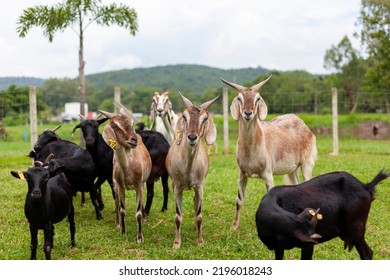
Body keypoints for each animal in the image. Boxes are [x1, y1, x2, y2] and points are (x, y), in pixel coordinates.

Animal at [98, 108, 152, 242]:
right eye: (115, 125)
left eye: (132, 123)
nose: (133, 140)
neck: (128, 166)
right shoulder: (121, 186)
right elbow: (122, 209)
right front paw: (123, 232)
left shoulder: (138, 185)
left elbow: (138, 213)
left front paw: (140, 238)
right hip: (116, 185)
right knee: (117, 202)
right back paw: (117, 223)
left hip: (143, 183)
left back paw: (144, 218)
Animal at [165, 93, 219, 248]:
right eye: (184, 116)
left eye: (205, 118)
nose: (192, 137)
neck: (188, 169)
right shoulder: (177, 187)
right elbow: (178, 217)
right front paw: (176, 243)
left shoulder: (200, 186)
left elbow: (199, 216)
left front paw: (200, 241)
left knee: (195, 202)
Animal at [221, 75, 316, 230]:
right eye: (240, 98)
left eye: (258, 98)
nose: (248, 113)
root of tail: (302, 123)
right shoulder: (242, 174)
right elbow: (239, 200)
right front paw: (233, 227)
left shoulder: (268, 175)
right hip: (292, 169)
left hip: (306, 163)